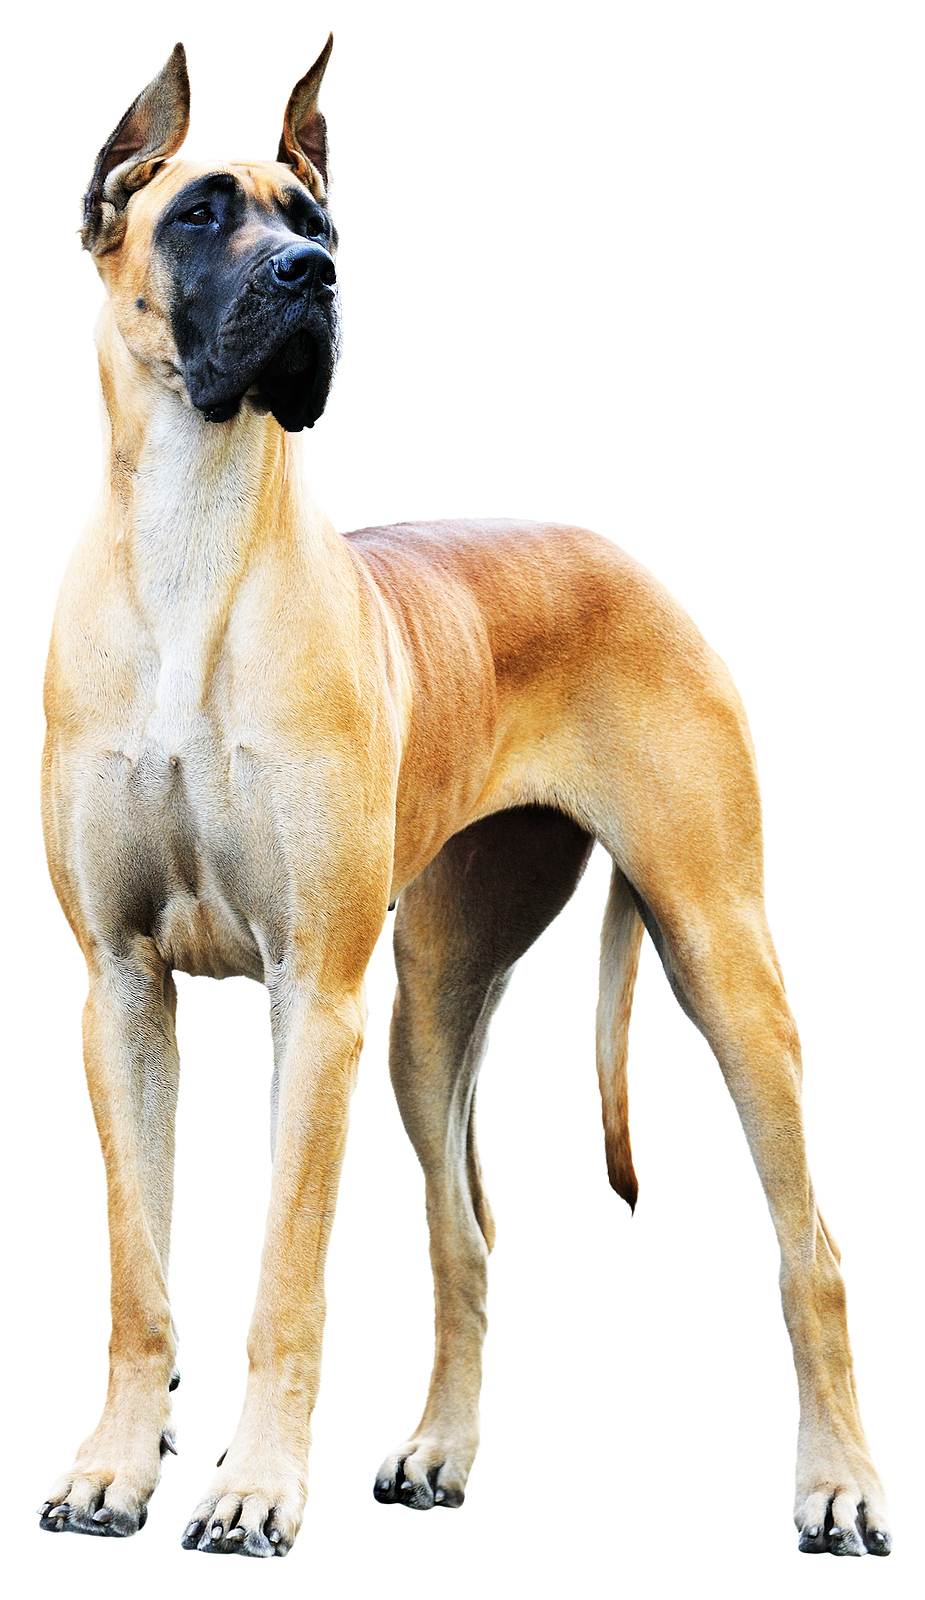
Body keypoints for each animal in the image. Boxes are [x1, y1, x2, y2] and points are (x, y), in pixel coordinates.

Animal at [39, 37, 889, 1561]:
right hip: (431, 1009)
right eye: (199, 214)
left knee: (815, 1249)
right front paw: (117, 1465)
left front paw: (255, 1488)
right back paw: (438, 1449)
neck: (191, 538)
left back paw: (837, 1483)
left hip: (717, 951)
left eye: (318, 223)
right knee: (466, 1236)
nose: (310, 278)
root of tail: (627, 556)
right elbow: (141, 1274)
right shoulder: (120, 988)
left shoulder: (313, 994)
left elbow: (287, 1270)